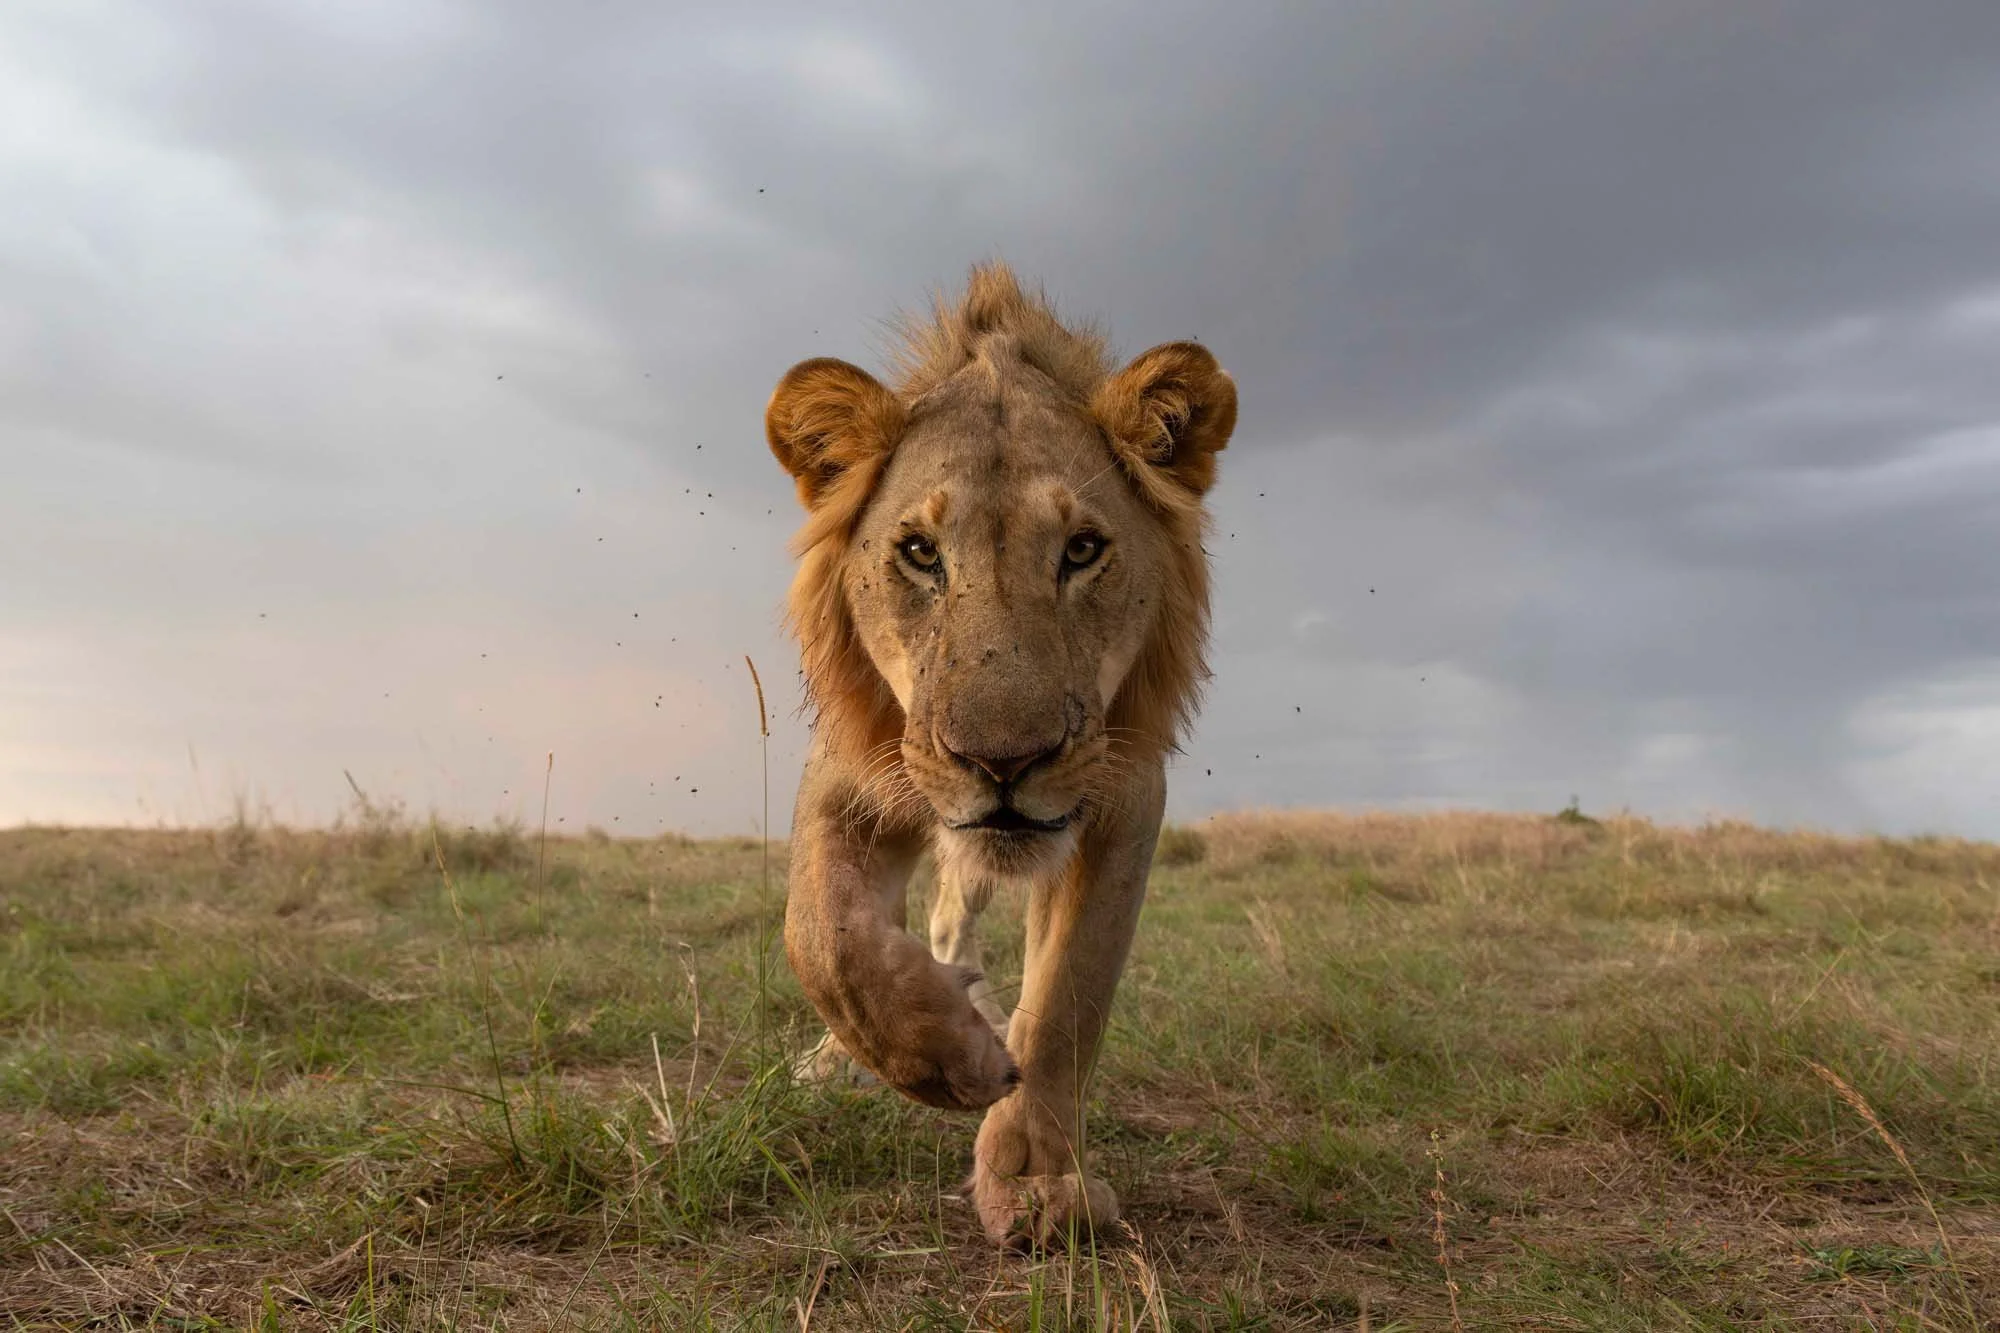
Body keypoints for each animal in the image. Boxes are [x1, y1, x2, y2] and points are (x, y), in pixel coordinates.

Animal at [764, 262, 1235, 1247]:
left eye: (1083, 549)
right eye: (918, 552)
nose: (1004, 765)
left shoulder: (1123, 798)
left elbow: (1066, 997)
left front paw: (1033, 1179)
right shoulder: (853, 774)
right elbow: (823, 940)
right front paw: (952, 1060)